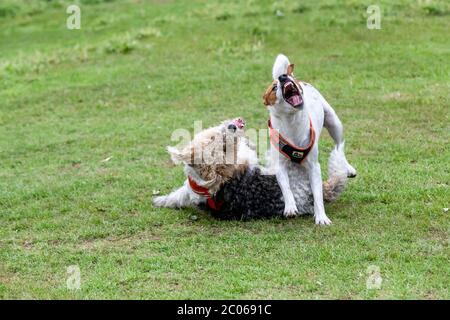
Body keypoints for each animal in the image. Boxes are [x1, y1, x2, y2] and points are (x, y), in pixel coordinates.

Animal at [264, 53, 356, 225]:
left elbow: (318, 194)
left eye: (289, 80)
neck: (292, 122)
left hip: (334, 122)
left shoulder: (314, 166)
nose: (283, 77)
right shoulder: (280, 166)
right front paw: (290, 207)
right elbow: (286, 187)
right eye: (273, 88)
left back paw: (347, 167)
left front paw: (321, 217)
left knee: (339, 145)